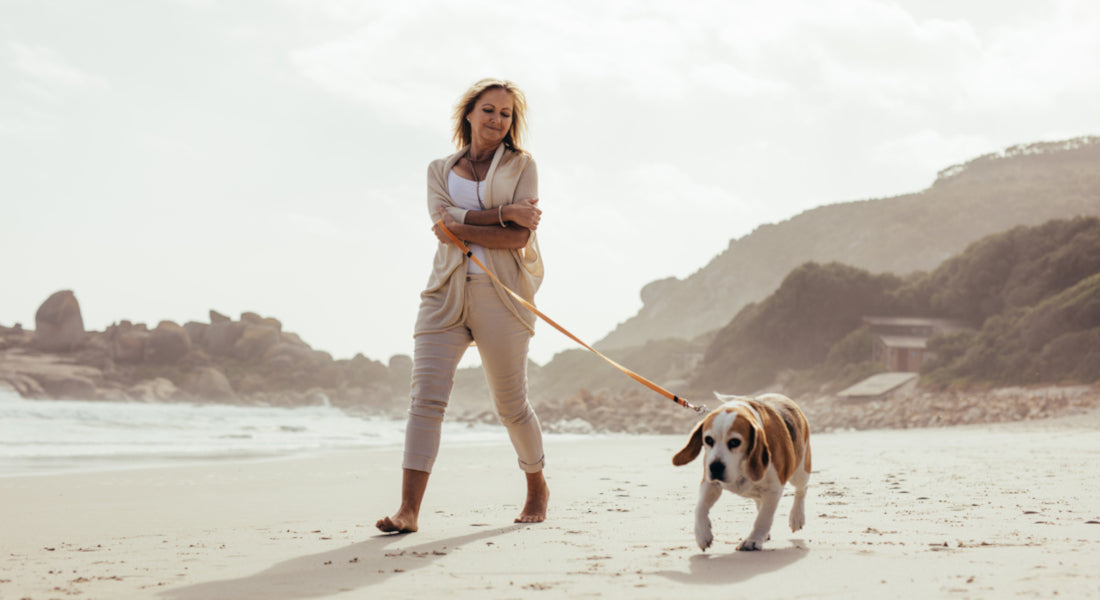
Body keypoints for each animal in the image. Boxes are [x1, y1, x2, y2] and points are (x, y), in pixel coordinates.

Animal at [673, 389, 814, 550]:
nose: (715, 467)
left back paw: (797, 517)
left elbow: (763, 518)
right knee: (760, 501)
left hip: (800, 472)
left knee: (801, 489)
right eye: (708, 440)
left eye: (735, 442)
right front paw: (702, 534)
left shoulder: (773, 490)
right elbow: (699, 508)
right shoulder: (710, 484)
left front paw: (753, 540)